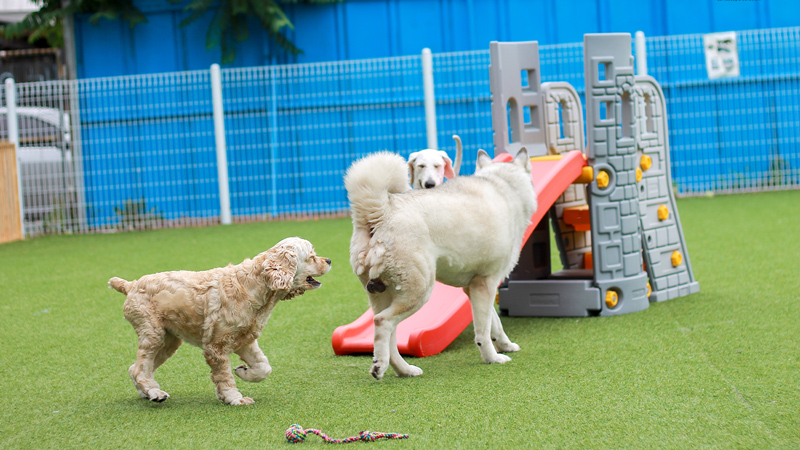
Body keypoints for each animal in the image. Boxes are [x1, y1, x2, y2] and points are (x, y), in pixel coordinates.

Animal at [108, 237, 330, 406]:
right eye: (311, 256)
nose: (328, 259)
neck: (253, 285)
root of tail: (131, 285)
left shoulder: (245, 340)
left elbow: (264, 367)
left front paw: (243, 372)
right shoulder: (217, 346)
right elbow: (224, 376)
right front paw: (235, 399)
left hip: (169, 341)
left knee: (136, 368)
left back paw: (148, 392)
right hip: (153, 334)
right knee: (140, 368)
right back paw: (155, 393)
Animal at [344, 149, 536, 380]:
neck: (504, 187)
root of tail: (382, 210)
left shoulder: (474, 287)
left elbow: (494, 322)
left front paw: (505, 345)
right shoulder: (485, 284)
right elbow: (483, 331)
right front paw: (492, 358)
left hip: (384, 295)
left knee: (389, 335)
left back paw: (405, 370)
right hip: (419, 292)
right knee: (382, 323)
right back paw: (379, 366)